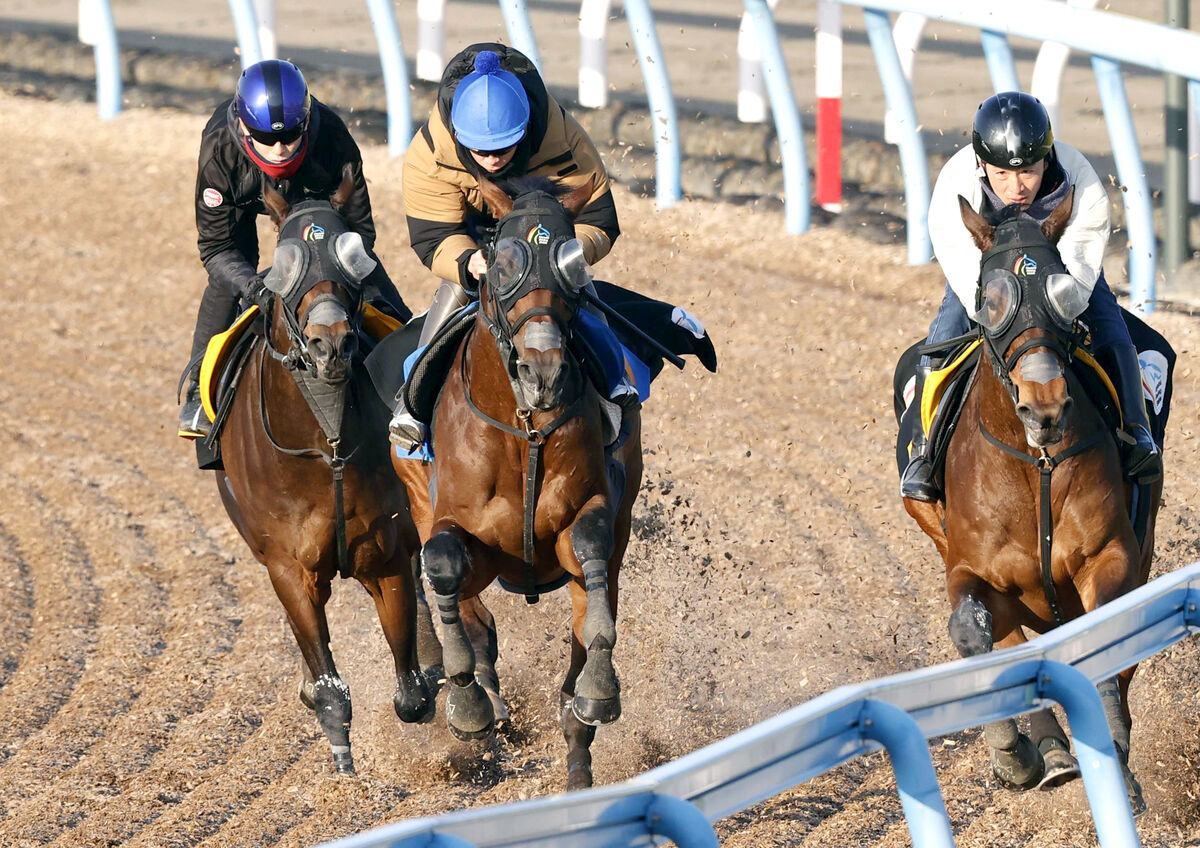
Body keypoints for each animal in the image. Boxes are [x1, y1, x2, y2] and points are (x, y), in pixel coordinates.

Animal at [213, 172, 434, 777]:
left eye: (353, 259)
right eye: (286, 264)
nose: (329, 343)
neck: (327, 446)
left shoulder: (386, 553)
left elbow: (412, 692)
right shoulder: (289, 569)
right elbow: (332, 688)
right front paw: (344, 771)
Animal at [393, 176, 643, 791]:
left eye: (572, 263)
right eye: (503, 264)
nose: (544, 370)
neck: (524, 427)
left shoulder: (592, 514)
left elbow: (591, 552)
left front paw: (598, 689)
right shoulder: (469, 537)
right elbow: (443, 568)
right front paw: (468, 707)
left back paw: (577, 763)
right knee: (468, 611)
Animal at [902, 189, 1156, 810]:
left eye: (1063, 297)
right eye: (990, 302)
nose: (1045, 408)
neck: (1033, 466)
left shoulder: (1110, 555)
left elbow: (1107, 643)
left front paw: (1114, 759)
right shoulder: (969, 566)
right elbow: (972, 635)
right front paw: (1012, 753)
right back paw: (1053, 752)